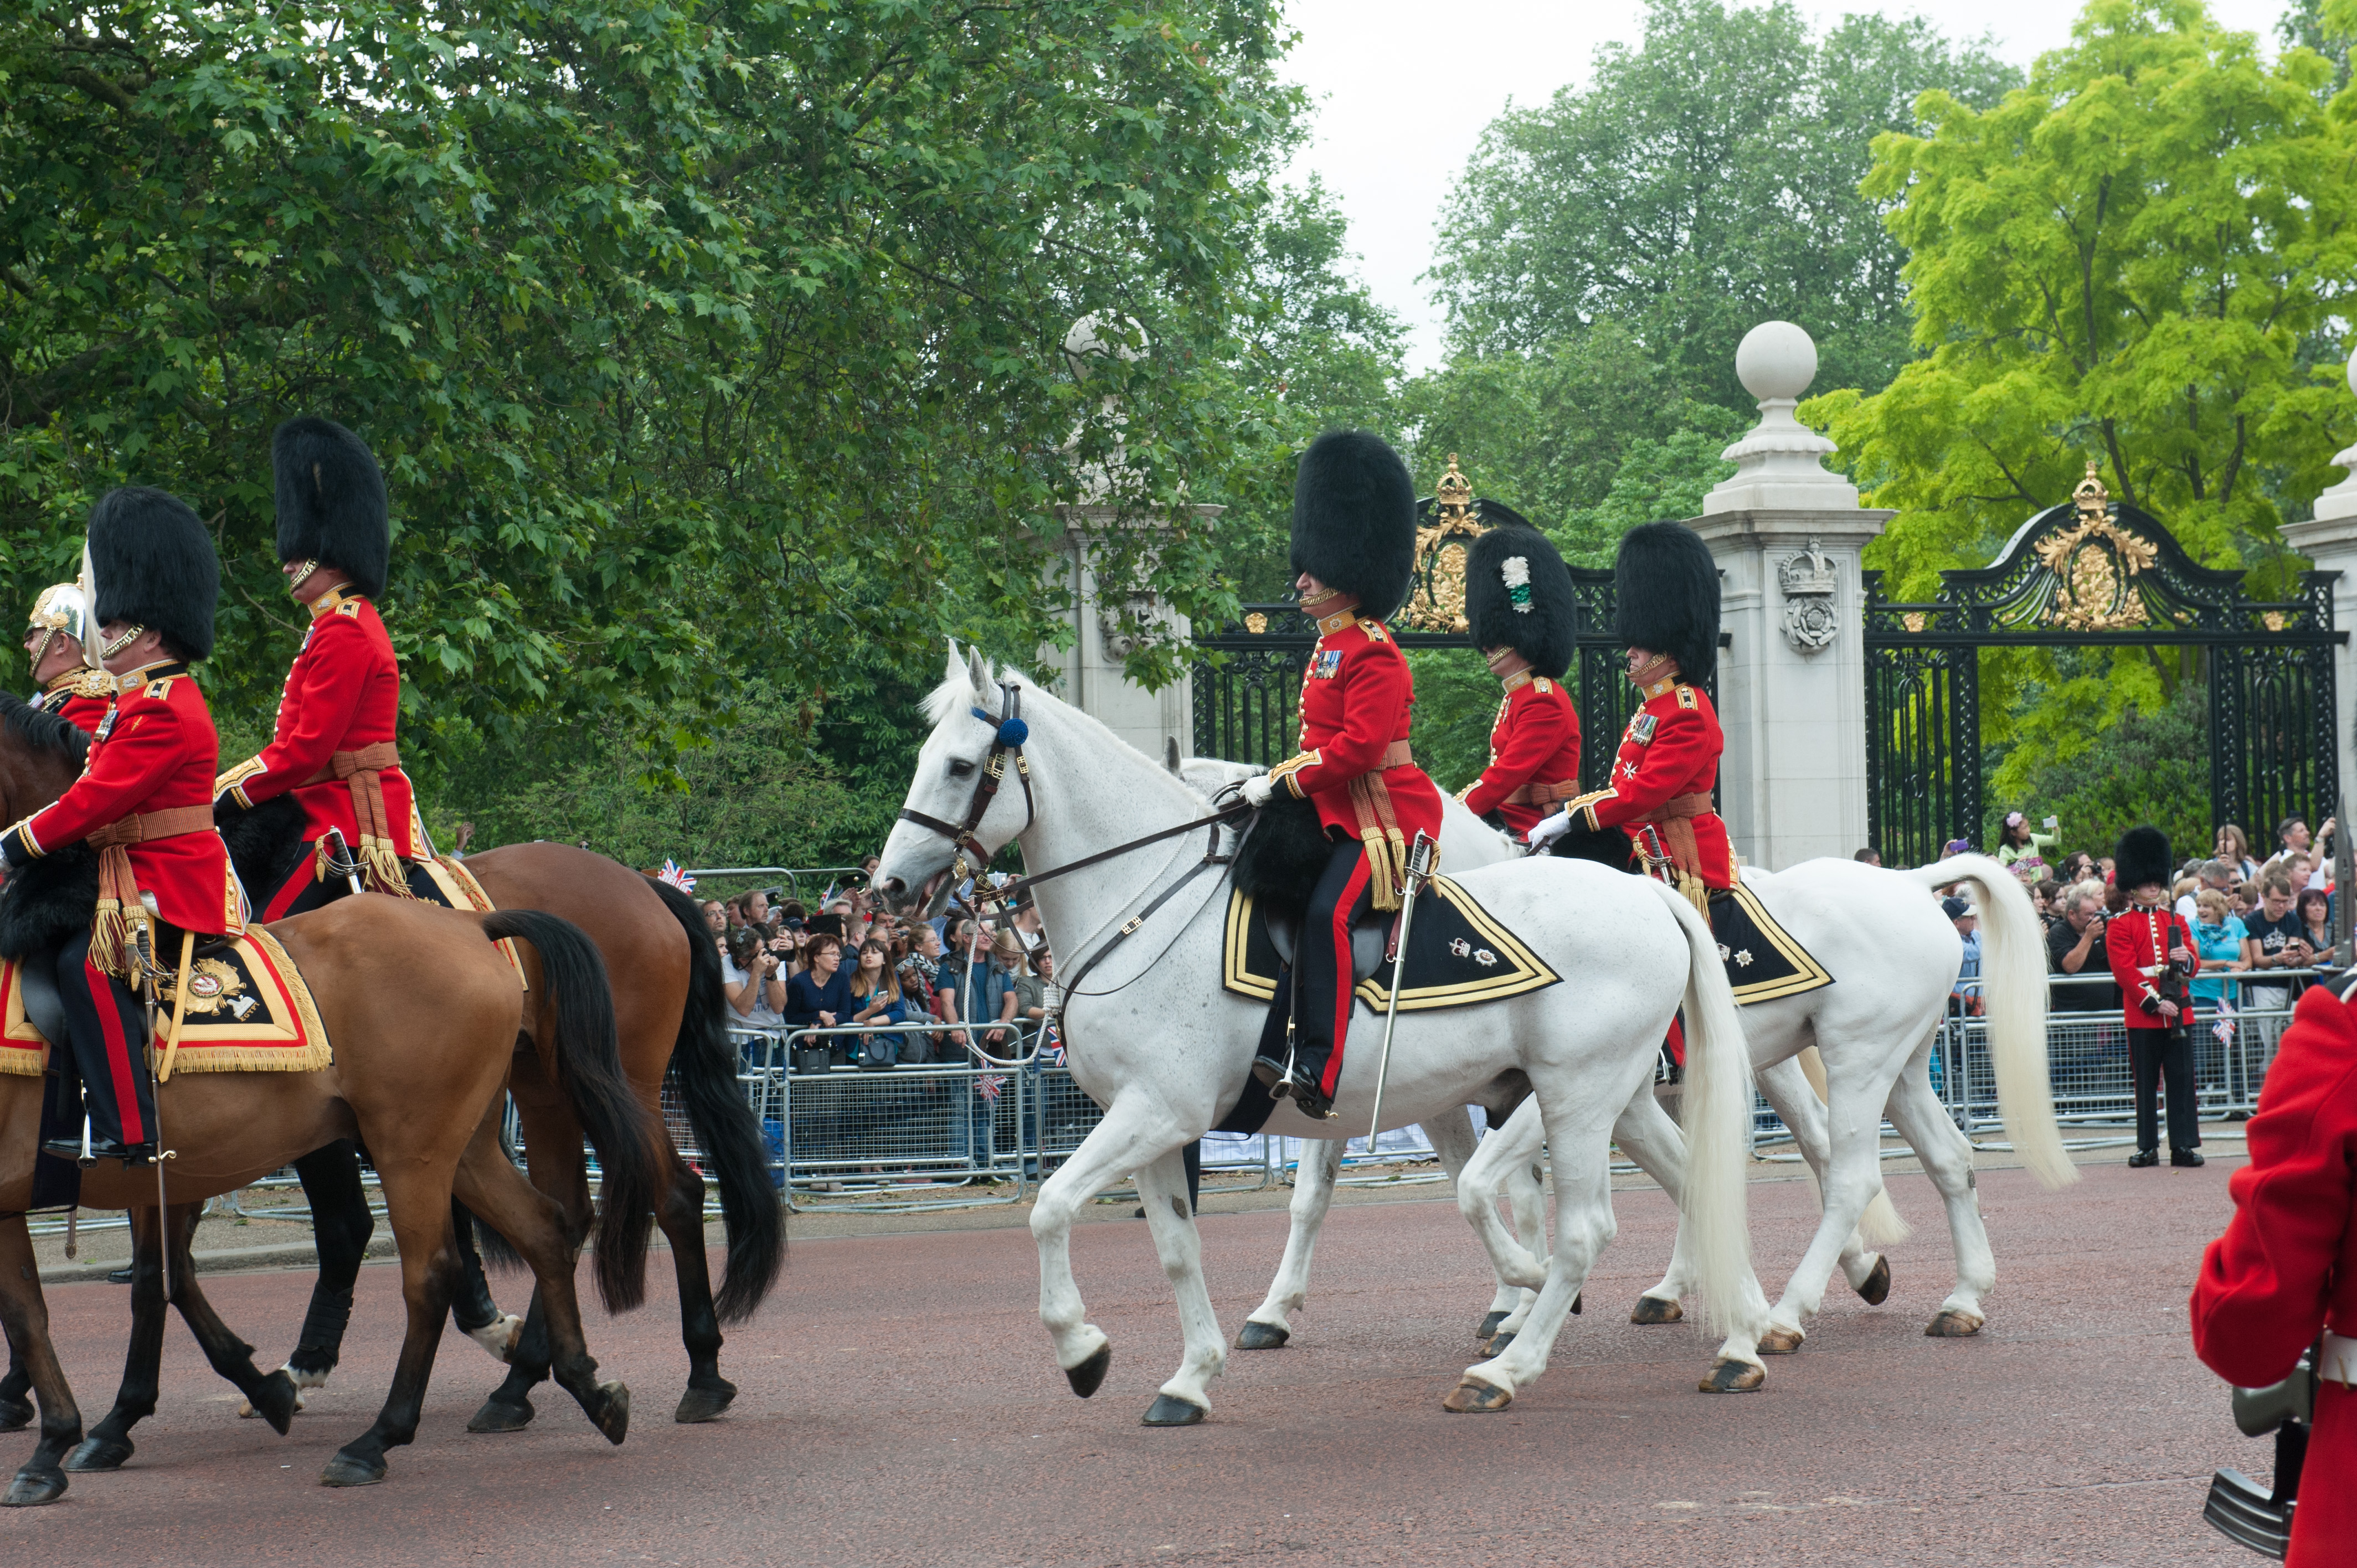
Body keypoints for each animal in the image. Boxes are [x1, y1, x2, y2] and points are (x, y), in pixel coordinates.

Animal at [0, 891, 665, 1490]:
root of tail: (471, 924)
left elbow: (58, 1309)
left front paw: (57, 1443)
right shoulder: (158, 1179)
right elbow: (126, 1289)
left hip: (410, 1149)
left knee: (432, 1275)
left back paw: (377, 1441)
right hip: (465, 1147)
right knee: (545, 1231)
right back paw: (586, 1388)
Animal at [881, 646, 1772, 1415]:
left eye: (960, 766)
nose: (888, 886)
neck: (1144, 902)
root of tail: (1650, 894)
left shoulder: (1160, 1110)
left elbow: (1050, 1207)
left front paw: (1082, 1350)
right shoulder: (1158, 1123)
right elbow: (1180, 1247)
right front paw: (1191, 1377)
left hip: (1578, 1095)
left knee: (1590, 1228)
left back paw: (1510, 1365)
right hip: (1612, 1094)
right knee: (1693, 1178)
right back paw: (1744, 1339)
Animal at [1188, 754, 2074, 1348]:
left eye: (1252, 819)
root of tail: (1909, 882)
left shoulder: (1530, 1089)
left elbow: (1496, 1184)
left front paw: (1523, 1300)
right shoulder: (1377, 1080)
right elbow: (1319, 1195)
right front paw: (1274, 1311)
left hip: (1831, 1058)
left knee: (1828, 1158)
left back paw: (1800, 1297)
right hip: (1854, 1063)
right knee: (1924, 1156)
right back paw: (1936, 1294)